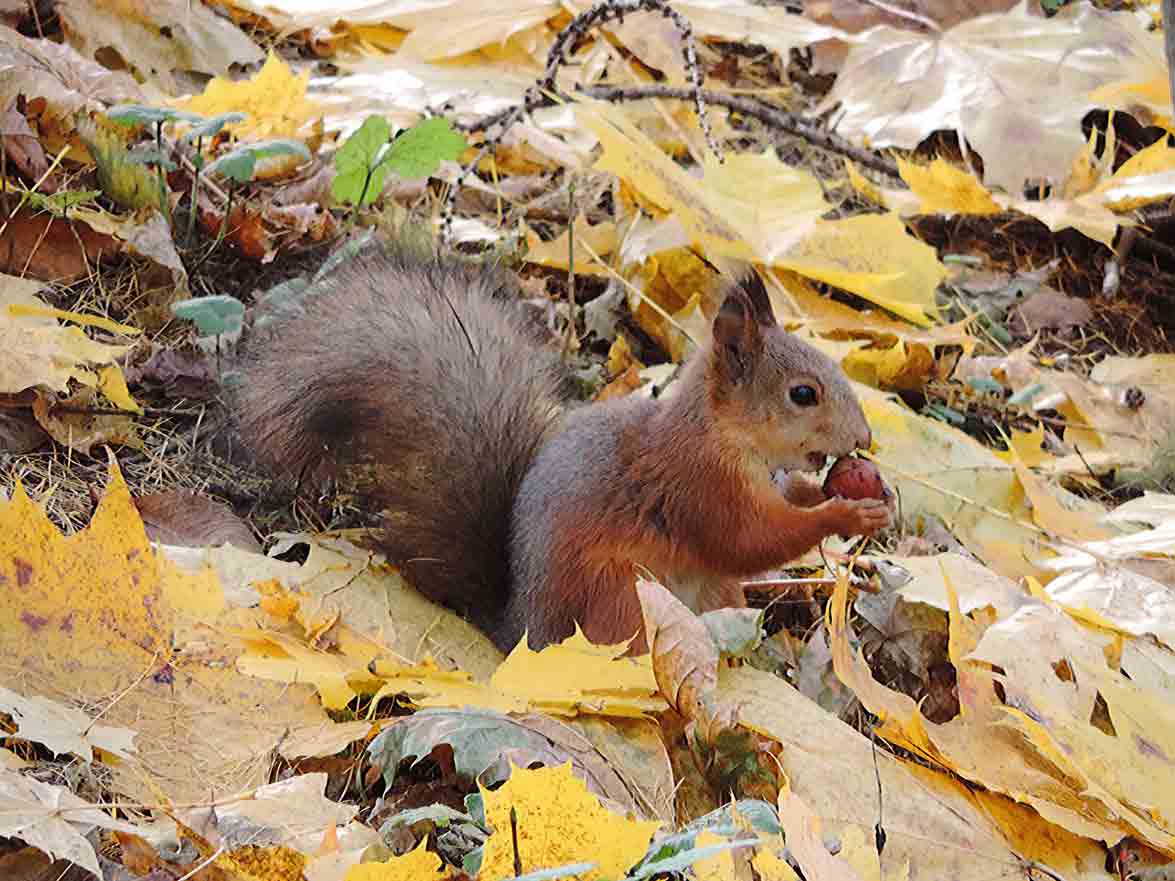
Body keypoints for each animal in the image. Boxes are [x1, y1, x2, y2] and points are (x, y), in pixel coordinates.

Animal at [233, 241, 883, 657]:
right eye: (803, 393)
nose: (863, 440)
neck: (726, 436)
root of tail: (525, 633)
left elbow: (783, 505)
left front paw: (842, 493)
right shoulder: (699, 484)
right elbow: (749, 539)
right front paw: (845, 512)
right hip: (621, 596)